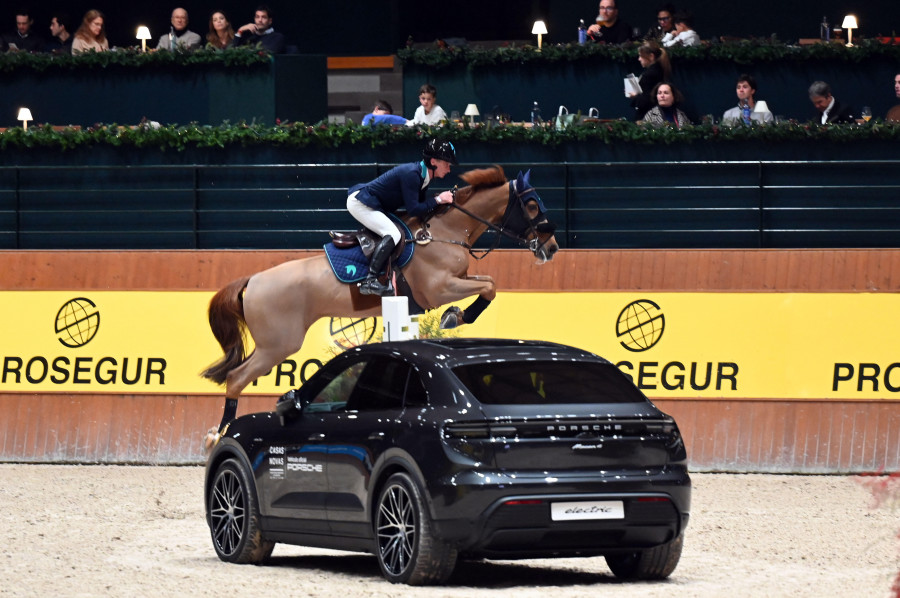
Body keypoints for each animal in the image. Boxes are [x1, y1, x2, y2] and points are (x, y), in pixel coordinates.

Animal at [200, 164, 560, 436]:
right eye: (532, 205)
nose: (552, 248)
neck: (445, 232)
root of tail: (254, 280)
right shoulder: (439, 288)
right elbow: (487, 288)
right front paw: (454, 316)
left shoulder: (457, 280)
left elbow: (490, 285)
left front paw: (456, 315)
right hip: (279, 344)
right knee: (236, 378)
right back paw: (217, 437)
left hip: (272, 344)